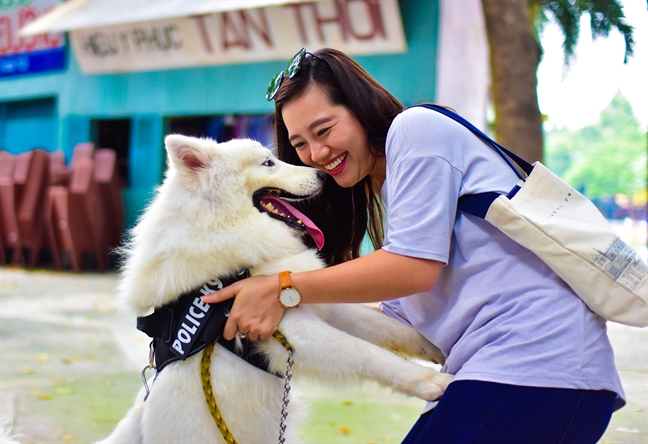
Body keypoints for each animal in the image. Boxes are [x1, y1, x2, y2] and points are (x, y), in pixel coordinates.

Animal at [100, 135, 450, 444]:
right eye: (268, 162)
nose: (325, 175)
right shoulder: (288, 331)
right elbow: (368, 353)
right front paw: (432, 383)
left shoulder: (307, 302)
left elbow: (387, 328)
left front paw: (436, 348)